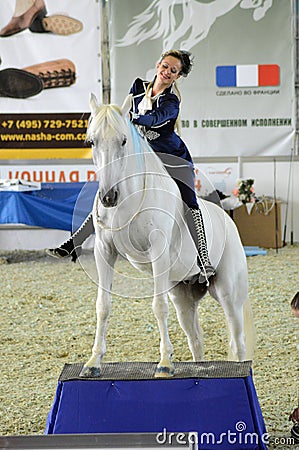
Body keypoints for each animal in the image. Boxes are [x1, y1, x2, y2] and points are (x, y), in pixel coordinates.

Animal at [79, 95, 255, 380]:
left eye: (123, 141)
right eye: (92, 141)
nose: (108, 197)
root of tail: (228, 220)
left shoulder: (157, 251)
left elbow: (158, 307)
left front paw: (164, 364)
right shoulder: (104, 252)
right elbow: (103, 306)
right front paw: (93, 362)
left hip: (229, 294)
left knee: (237, 341)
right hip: (184, 298)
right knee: (196, 340)